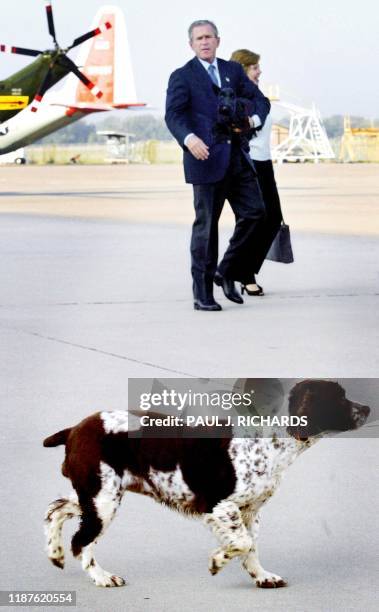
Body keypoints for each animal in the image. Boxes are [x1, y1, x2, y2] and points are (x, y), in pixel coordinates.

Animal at [43, 382, 372, 588]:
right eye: (339, 396)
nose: (368, 408)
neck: (271, 441)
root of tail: (74, 430)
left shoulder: (249, 512)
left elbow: (250, 546)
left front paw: (263, 577)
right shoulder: (220, 506)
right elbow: (242, 543)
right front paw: (216, 562)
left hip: (92, 495)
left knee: (54, 509)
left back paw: (55, 555)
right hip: (103, 500)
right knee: (81, 541)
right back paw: (102, 577)